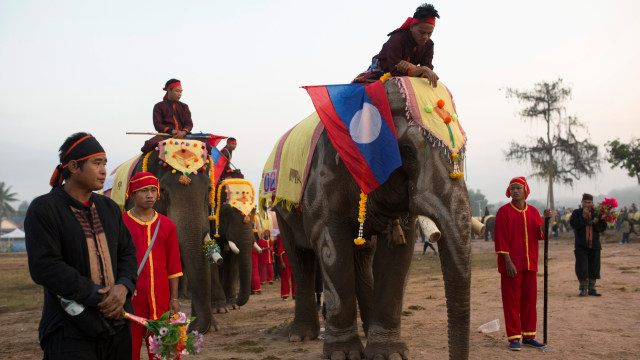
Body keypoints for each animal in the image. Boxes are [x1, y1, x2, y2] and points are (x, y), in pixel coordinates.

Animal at [264, 79, 470, 360]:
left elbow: (399, 252)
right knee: (300, 259)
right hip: (281, 210)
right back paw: (301, 336)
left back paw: (367, 329)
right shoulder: (323, 184)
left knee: (362, 258)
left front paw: (388, 354)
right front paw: (343, 354)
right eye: (407, 150)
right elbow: (331, 249)